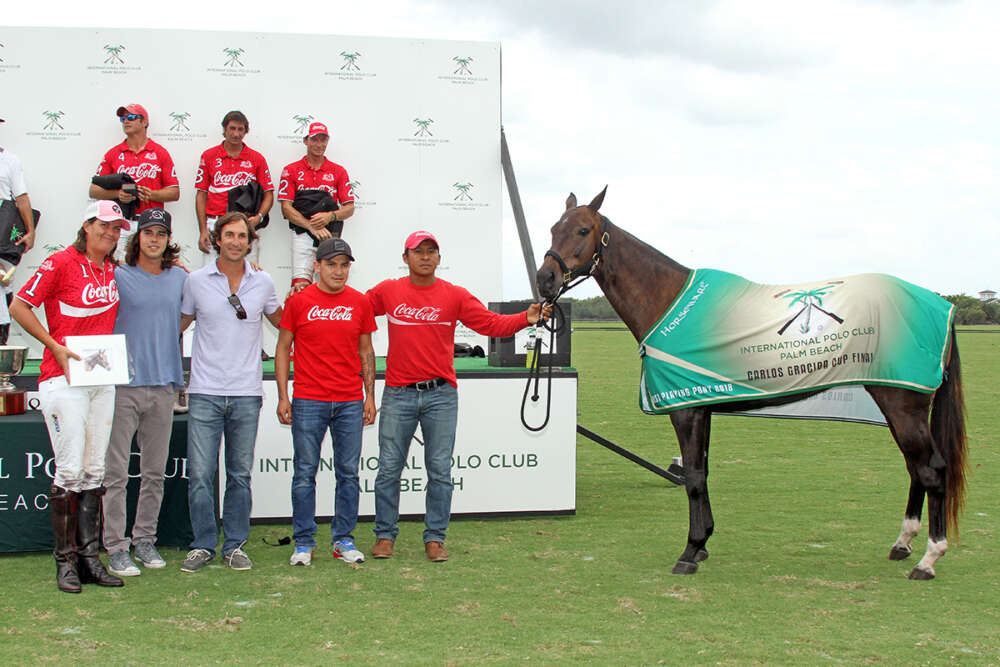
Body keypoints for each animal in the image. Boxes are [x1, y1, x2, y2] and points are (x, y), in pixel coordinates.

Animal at [540, 188, 968, 580]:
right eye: (552, 228)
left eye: (582, 230)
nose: (545, 278)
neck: (667, 300)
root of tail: (941, 307)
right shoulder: (703, 408)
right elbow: (702, 472)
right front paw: (703, 543)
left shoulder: (686, 411)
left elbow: (693, 477)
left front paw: (690, 551)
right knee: (915, 468)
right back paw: (903, 544)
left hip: (902, 403)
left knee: (931, 469)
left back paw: (929, 558)